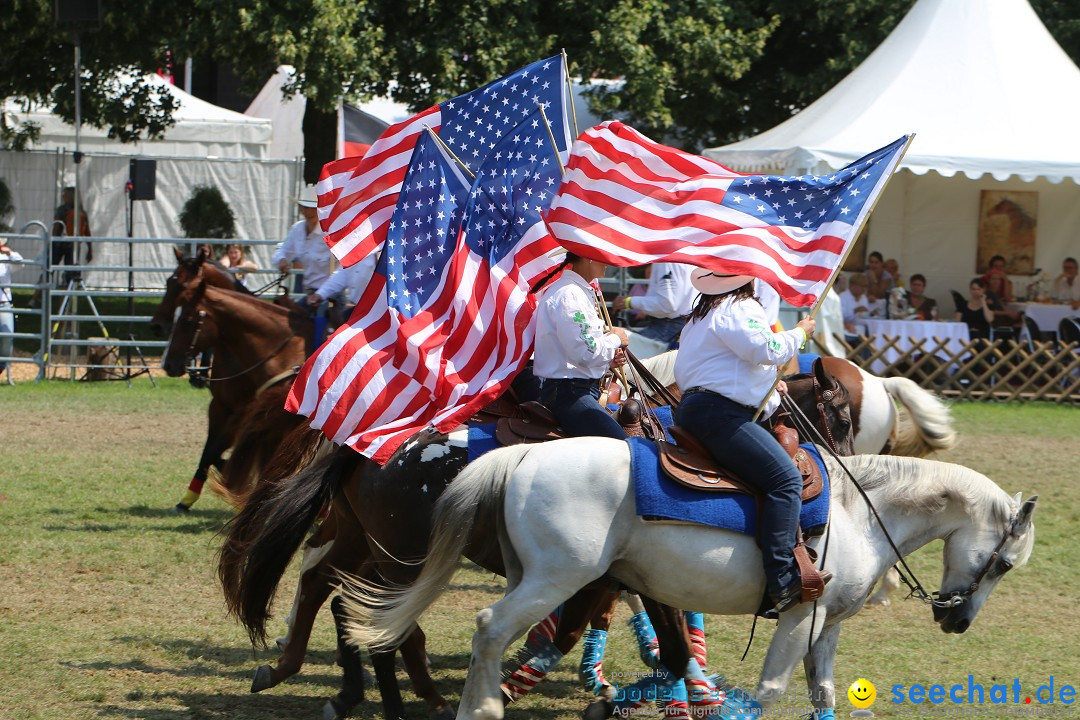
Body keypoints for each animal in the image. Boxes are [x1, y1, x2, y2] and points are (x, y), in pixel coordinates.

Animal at [214, 360, 851, 720]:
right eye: (841, 415)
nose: (834, 459)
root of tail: (371, 444)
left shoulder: (622, 576)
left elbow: (636, 634)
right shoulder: (619, 576)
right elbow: (603, 631)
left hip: (360, 540)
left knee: (331, 590)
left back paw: (331, 683)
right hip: (399, 556)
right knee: (372, 613)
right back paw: (405, 697)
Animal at [345, 442, 1036, 716]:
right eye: (1003, 564)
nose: (956, 619)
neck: (859, 513)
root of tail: (526, 453)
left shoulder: (828, 624)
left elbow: (823, 692)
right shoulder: (799, 615)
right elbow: (771, 690)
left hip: (536, 576)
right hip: (554, 580)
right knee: (490, 628)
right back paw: (481, 708)